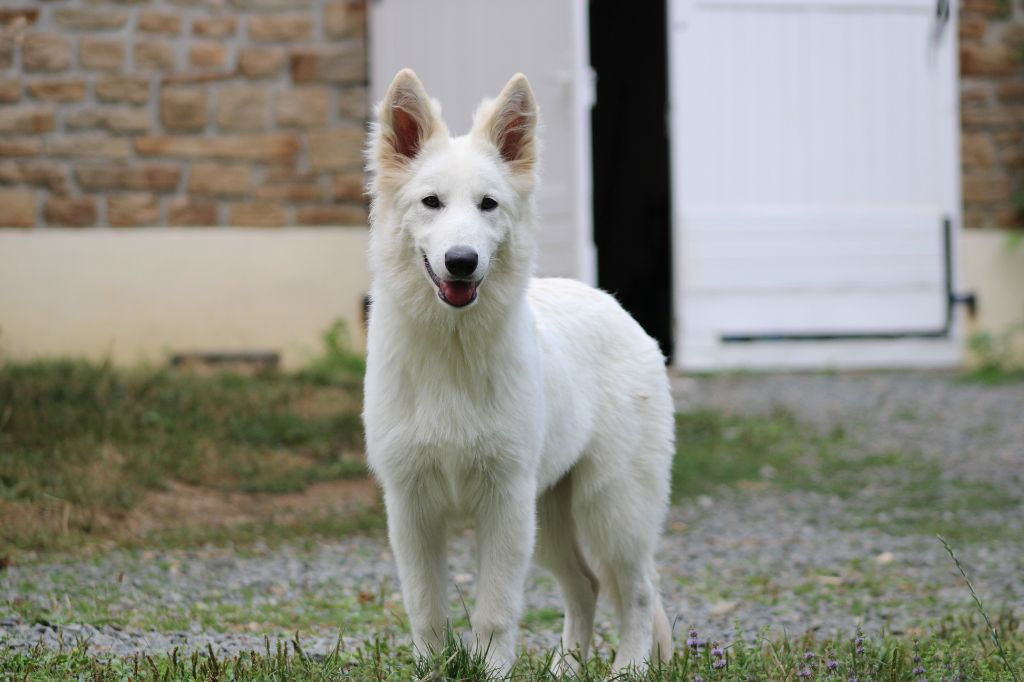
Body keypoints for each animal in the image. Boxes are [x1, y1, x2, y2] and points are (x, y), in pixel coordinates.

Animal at [364, 67, 675, 667]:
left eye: (489, 204)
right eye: (431, 202)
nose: (462, 262)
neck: (453, 350)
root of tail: (614, 305)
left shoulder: (504, 504)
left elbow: (494, 615)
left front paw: (491, 671)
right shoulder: (411, 508)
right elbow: (426, 612)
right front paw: (433, 671)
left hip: (611, 507)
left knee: (638, 591)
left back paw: (625, 669)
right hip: (552, 515)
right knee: (586, 586)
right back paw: (568, 668)